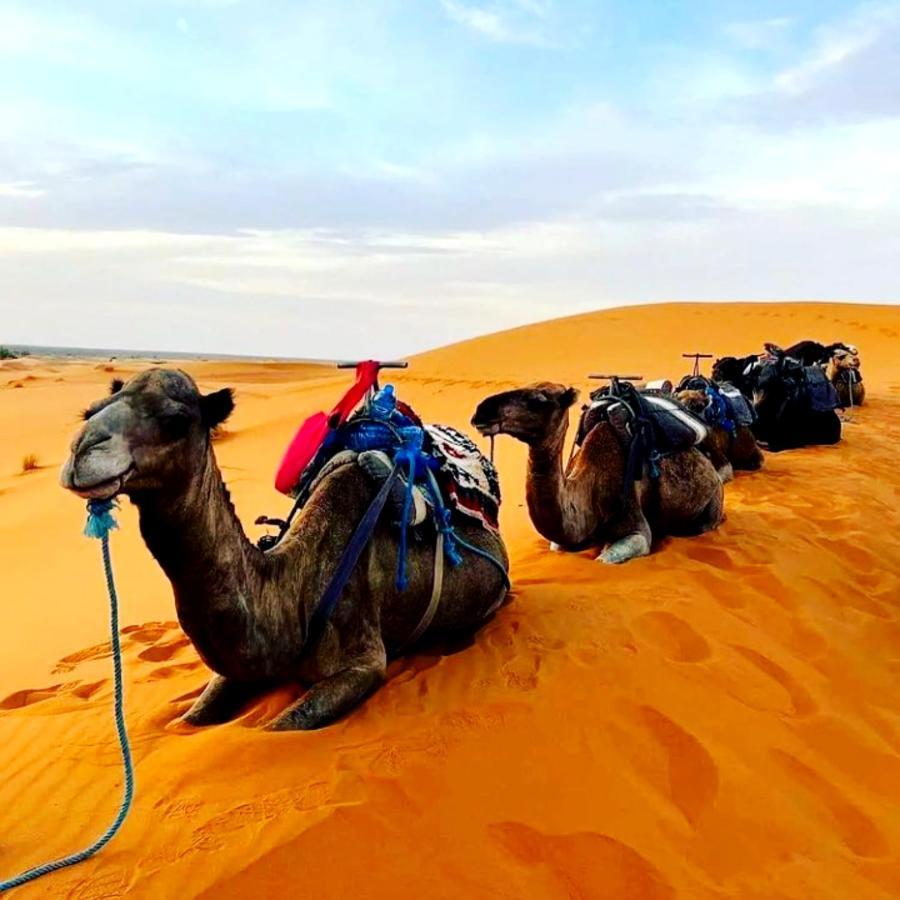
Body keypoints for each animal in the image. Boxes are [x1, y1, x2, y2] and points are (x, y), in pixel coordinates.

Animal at [61, 370, 512, 732]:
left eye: (175, 420)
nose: (82, 451)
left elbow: (280, 726)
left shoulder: (362, 663)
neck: (294, 590)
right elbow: (191, 719)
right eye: (91, 410)